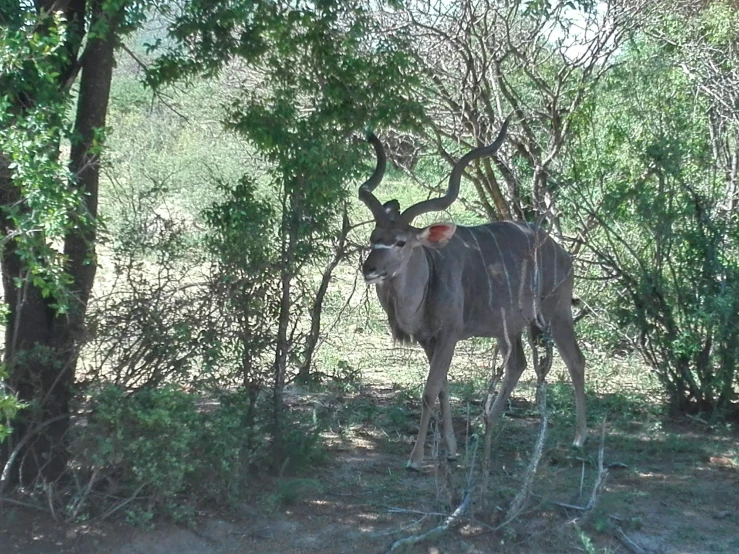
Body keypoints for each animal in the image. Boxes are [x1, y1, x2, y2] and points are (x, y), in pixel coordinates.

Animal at [360, 118, 588, 468]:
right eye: (374, 237)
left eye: (400, 242)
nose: (369, 268)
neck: (430, 272)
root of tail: (560, 250)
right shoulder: (429, 340)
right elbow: (441, 388)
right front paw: (452, 449)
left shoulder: (450, 334)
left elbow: (429, 390)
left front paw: (415, 458)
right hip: (509, 328)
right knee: (517, 363)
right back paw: (487, 426)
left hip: (556, 312)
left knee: (575, 360)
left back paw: (578, 439)